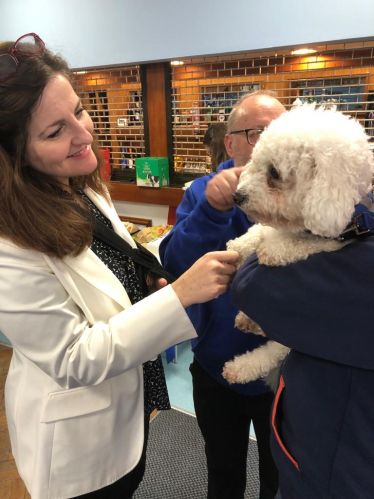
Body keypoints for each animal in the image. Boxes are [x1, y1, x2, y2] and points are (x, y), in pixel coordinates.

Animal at [222, 104, 374, 390]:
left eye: (274, 173)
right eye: (255, 163)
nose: (237, 196)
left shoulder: (334, 240)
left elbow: (304, 244)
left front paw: (274, 251)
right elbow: (260, 232)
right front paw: (238, 246)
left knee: (275, 348)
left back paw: (242, 364)